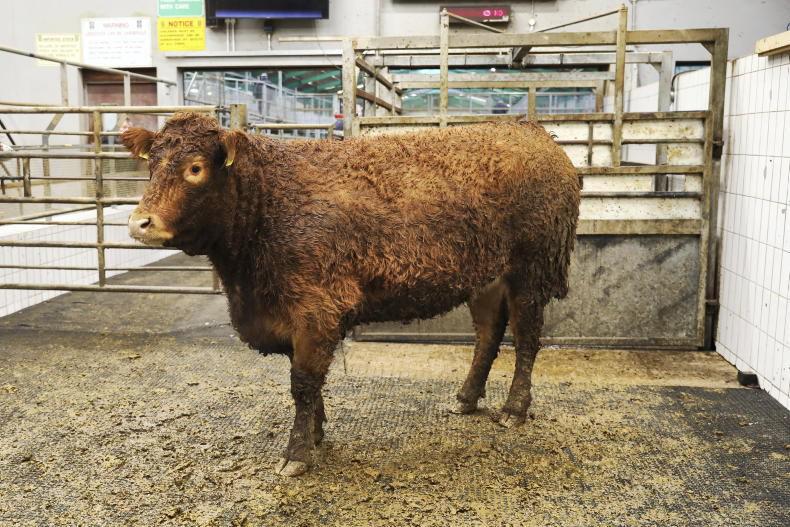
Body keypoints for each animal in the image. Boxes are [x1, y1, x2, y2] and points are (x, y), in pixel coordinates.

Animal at [121, 112, 581, 476]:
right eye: (151, 166)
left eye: (195, 168)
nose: (140, 222)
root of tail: (534, 131)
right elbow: (307, 383)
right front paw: (316, 433)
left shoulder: (316, 309)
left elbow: (303, 383)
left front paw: (297, 454)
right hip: (486, 277)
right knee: (488, 333)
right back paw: (466, 399)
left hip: (531, 270)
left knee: (526, 339)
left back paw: (514, 410)